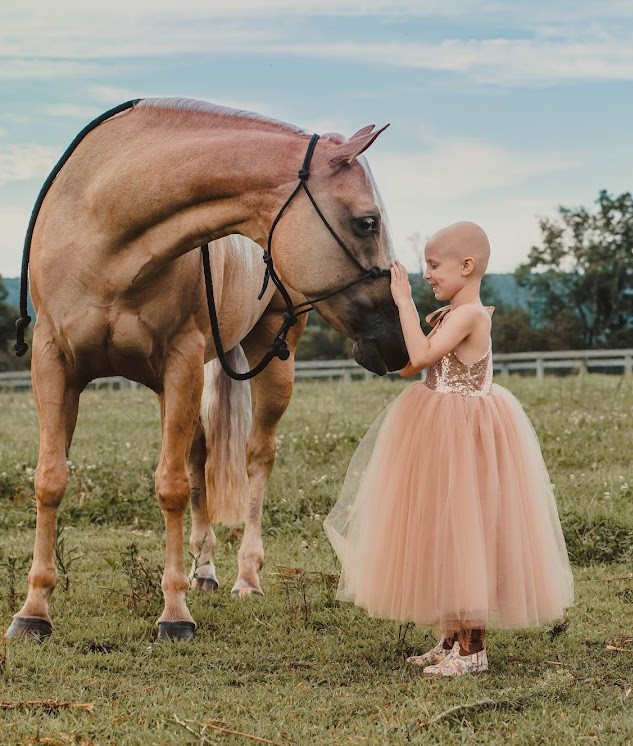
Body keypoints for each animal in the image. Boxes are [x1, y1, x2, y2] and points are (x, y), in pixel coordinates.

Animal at [7, 97, 408, 640]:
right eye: (367, 223)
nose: (399, 342)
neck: (103, 229)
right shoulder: (54, 364)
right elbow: (51, 480)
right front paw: (33, 611)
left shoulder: (179, 365)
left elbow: (171, 487)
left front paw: (174, 614)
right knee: (198, 456)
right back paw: (204, 571)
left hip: (270, 362)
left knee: (257, 455)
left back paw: (245, 577)